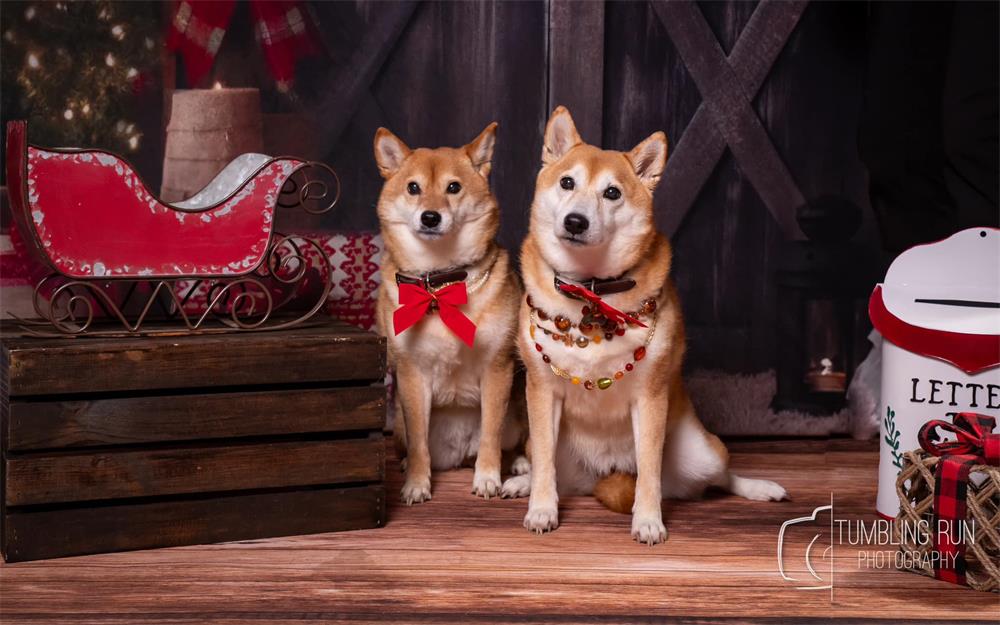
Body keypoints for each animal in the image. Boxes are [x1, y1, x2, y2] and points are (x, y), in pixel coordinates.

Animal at [374, 124, 528, 504]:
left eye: (453, 187)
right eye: (413, 188)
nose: (430, 216)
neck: (440, 285)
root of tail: (460, 454)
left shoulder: (498, 368)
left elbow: (490, 433)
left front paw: (487, 478)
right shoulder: (412, 374)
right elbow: (419, 444)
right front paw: (416, 483)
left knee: (511, 444)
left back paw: (517, 465)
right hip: (399, 426)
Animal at [512, 107, 784, 540]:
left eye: (612, 193)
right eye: (567, 182)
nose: (575, 221)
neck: (592, 291)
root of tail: (600, 475)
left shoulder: (650, 397)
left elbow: (649, 472)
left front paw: (648, 519)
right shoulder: (541, 390)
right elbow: (544, 465)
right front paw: (540, 508)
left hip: (704, 453)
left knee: (719, 479)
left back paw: (759, 487)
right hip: (554, 450)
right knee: (549, 467)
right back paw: (520, 480)